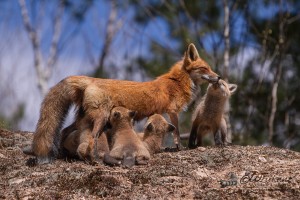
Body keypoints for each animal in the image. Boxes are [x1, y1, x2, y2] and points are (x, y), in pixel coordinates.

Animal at [29, 43, 219, 165]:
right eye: (205, 69)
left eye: (210, 68)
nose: (218, 77)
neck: (177, 82)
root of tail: (90, 80)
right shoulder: (173, 111)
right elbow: (177, 133)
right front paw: (180, 148)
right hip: (100, 118)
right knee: (92, 138)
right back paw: (93, 159)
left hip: (84, 120)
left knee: (63, 131)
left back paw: (65, 154)